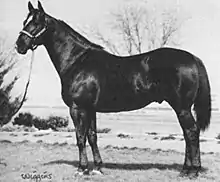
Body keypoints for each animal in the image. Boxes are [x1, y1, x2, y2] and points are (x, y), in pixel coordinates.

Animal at [15, 1, 211, 178]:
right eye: (25, 21)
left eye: (37, 23)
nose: (19, 46)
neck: (77, 61)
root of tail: (193, 58)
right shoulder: (90, 109)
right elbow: (92, 136)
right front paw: (97, 167)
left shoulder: (77, 108)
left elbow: (80, 137)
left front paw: (82, 169)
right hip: (181, 108)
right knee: (187, 134)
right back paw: (185, 170)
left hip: (182, 107)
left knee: (191, 132)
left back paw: (193, 171)